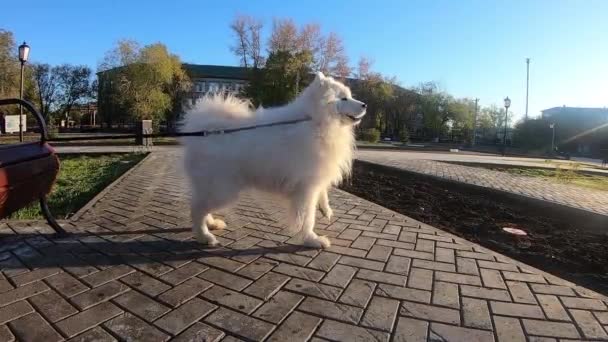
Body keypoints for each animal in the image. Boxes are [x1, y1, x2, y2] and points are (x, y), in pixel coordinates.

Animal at [178, 72, 364, 248]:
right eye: (344, 98)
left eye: (350, 96)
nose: (365, 105)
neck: (315, 120)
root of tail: (205, 129)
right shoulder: (306, 188)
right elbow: (307, 218)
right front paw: (312, 240)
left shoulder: (316, 181)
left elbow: (322, 195)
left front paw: (326, 210)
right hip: (223, 190)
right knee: (196, 208)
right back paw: (205, 236)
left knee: (199, 204)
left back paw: (211, 224)